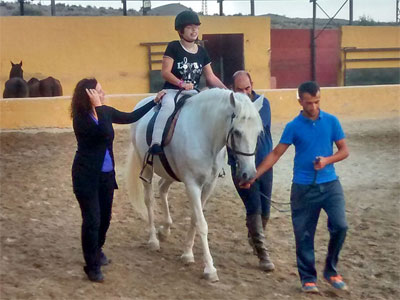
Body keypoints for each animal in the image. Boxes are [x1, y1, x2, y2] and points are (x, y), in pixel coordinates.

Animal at [128, 87, 264, 282]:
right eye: (237, 132)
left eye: (259, 132)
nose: (249, 174)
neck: (205, 134)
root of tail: (142, 103)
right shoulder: (192, 184)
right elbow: (202, 223)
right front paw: (210, 269)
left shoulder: (208, 185)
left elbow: (194, 218)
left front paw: (187, 254)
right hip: (146, 167)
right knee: (149, 200)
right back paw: (153, 240)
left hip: (171, 172)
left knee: (162, 188)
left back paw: (165, 229)